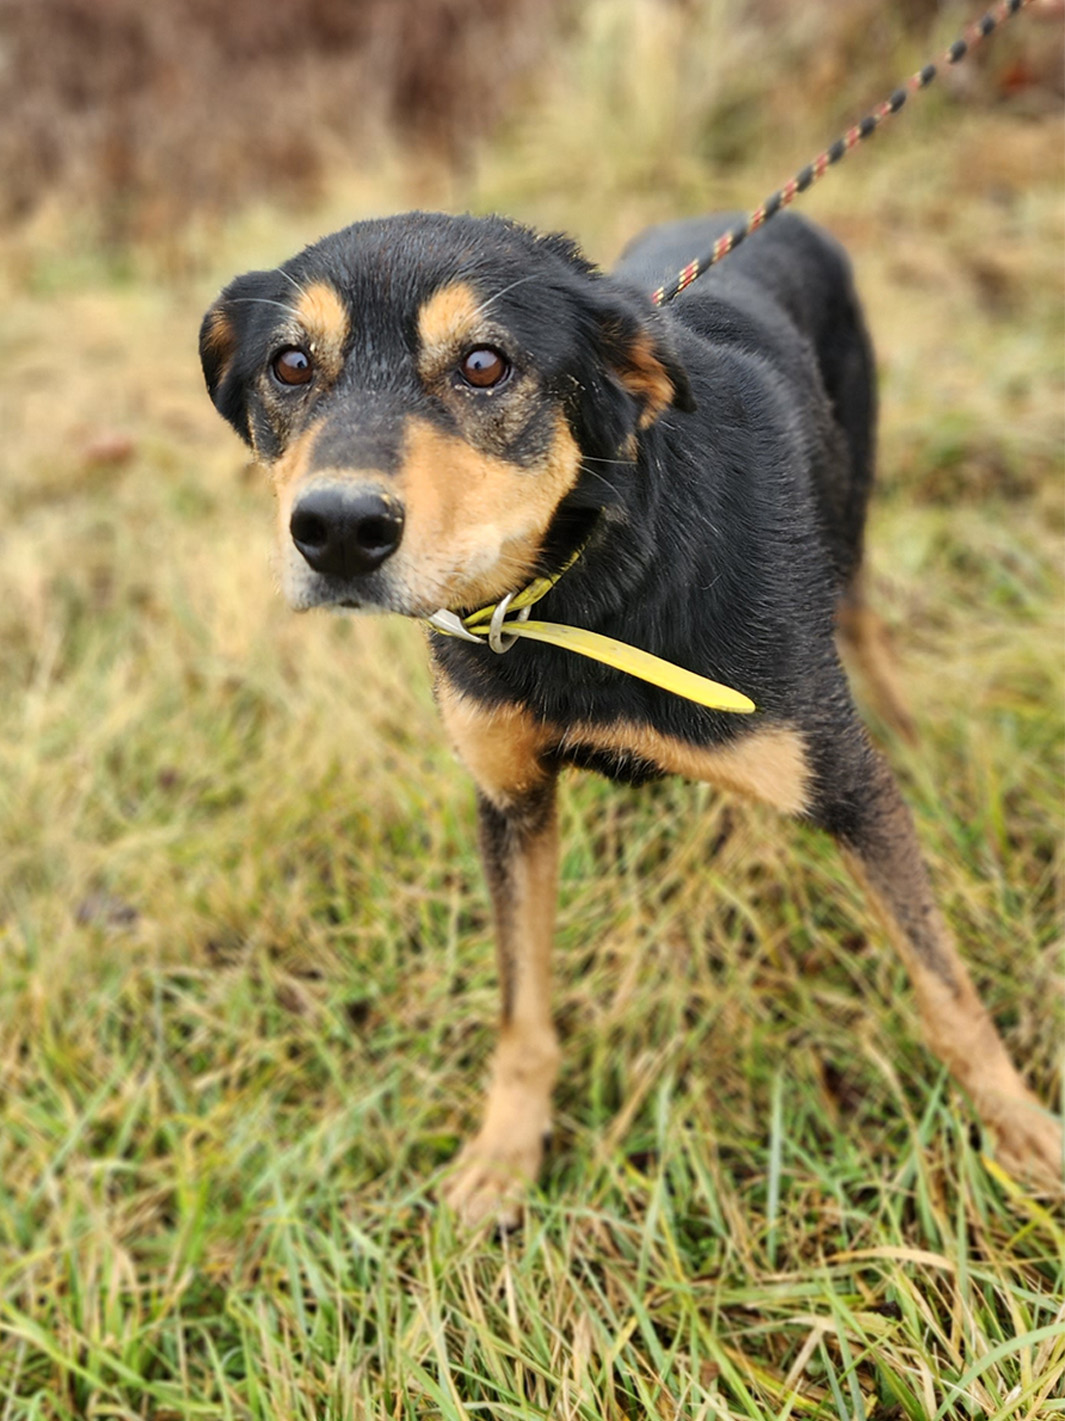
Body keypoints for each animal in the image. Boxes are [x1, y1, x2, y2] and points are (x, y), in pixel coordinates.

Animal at [201, 207, 1063, 1222]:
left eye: (484, 364)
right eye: (290, 365)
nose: (337, 529)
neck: (586, 589)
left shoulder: (843, 784)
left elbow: (946, 991)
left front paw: (1022, 1129)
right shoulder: (509, 801)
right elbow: (522, 1006)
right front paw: (505, 1152)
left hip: (849, 510)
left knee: (863, 615)